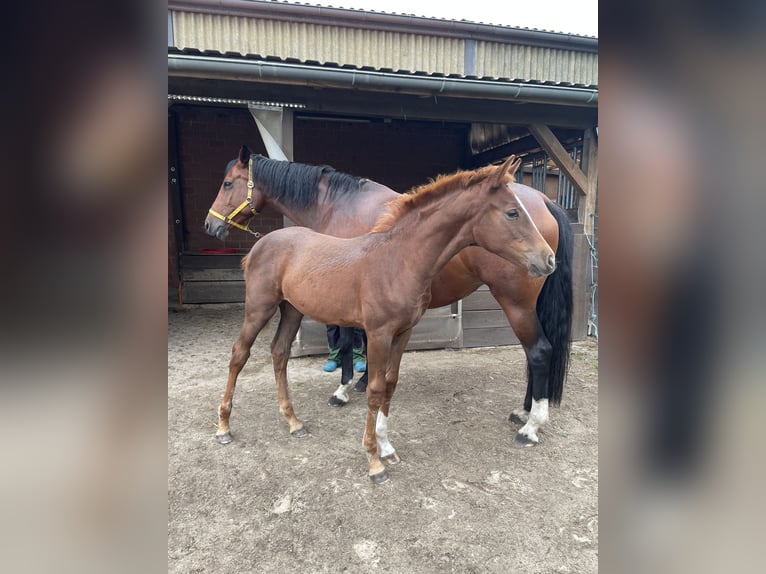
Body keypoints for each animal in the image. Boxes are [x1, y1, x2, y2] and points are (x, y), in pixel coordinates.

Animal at [212, 155, 556, 483]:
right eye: (512, 212)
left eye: (228, 183)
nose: (548, 259)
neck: (398, 259)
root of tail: (260, 243)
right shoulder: (378, 332)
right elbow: (375, 387)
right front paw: (374, 461)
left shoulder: (403, 332)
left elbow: (390, 382)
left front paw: (386, 446)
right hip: (260, 307)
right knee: (240, 353)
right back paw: (223, 426)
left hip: (292, 309)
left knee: (279, 352)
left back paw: (293, 422)